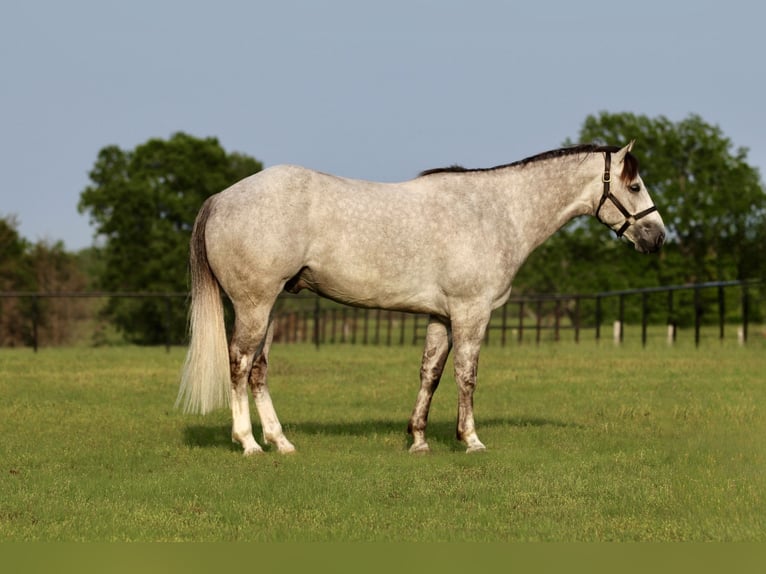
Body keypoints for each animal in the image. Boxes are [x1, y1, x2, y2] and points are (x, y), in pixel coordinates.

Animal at [177, 145, 664, 460]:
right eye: (635, 186)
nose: (657, 236)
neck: (494, 211)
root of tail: (222, 198)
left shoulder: (439, 316)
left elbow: (430, 373)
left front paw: (419, 440)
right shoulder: (471, 312)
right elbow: (466, 375)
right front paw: (470, 440)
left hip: (270, 307)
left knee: (258, 370)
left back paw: (281, 442)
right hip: (254, 304)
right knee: (240, 364)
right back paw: (249, 443)